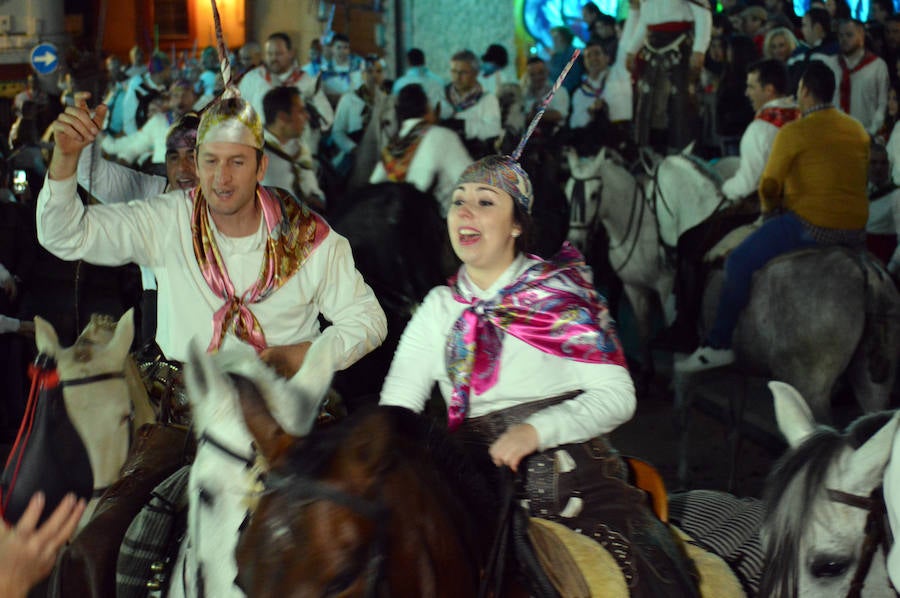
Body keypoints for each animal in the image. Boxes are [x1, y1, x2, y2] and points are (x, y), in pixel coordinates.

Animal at [568, 149, 900, 422]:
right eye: (569, 192)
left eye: (595, 194)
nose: (576, 241)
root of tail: (864, 270)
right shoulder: (635, 287)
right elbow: (643, 327)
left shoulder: (664, 291)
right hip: (873, 385)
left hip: (810, 385)